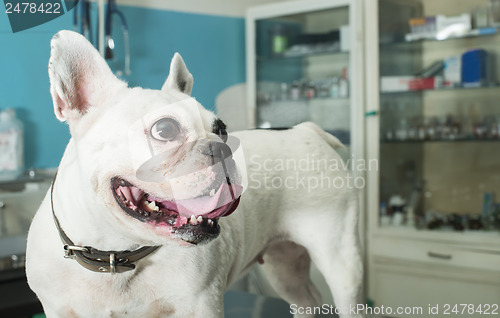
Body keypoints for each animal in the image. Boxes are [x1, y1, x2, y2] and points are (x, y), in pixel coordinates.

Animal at [26, 30, 364, 318]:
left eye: (222, 130)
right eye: (165, 129)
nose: (222, 148)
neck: (118, 253)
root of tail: (304, 130)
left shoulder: (202, 304)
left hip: (341, 263)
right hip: (284, 267)